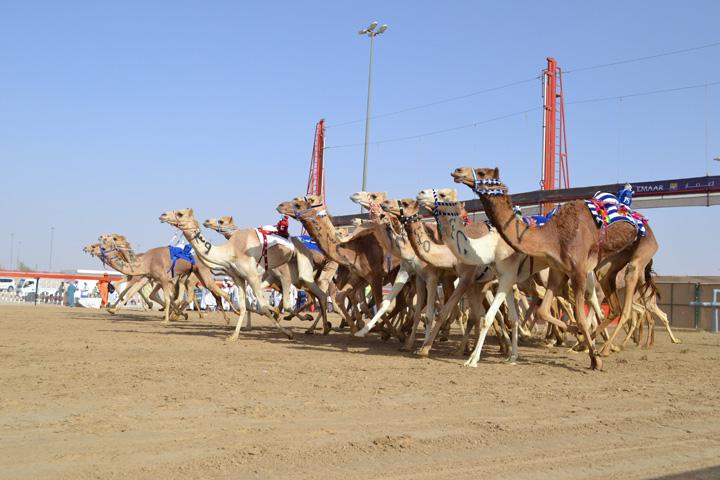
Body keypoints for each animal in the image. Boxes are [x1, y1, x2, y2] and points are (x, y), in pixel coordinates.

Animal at [452, 167, 656, 370]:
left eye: (482, 172)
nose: (458, 171)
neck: (552, 236)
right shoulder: (557, 270)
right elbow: (542, 310)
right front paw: (577, 336)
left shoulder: (577, 272)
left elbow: (580, 317)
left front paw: (594, 358)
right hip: (608, 265)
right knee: (612, 305)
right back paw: (587, 344)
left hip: (641, 252)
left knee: (624, 302)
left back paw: (605, 348)